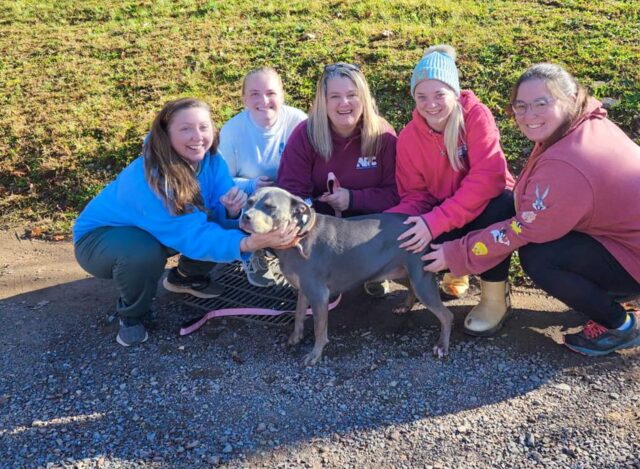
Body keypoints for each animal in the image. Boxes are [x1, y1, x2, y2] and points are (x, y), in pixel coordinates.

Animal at [240, 186, 456, 366]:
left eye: (270, 207)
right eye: (249, 202)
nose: (245, 217)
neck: (298, 239)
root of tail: (419, 224)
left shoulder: (319, 295)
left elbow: (319, 329)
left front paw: (315, 355)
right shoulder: (303, 290)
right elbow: (299, 314)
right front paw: (296, 337)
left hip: (421, 279)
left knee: (446, 315)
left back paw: (442, 346)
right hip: (400, 272)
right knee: (411, 288)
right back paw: (405, 306)